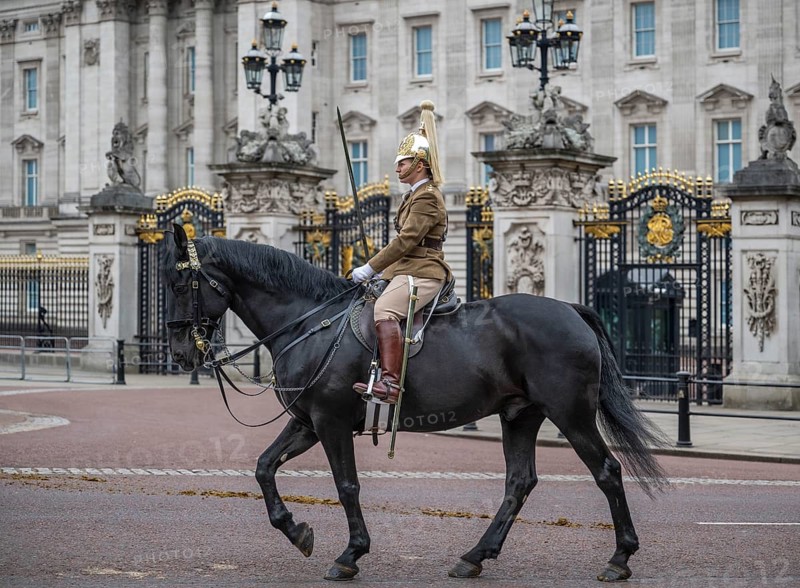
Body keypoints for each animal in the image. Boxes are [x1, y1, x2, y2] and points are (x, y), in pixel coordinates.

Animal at [162, 224, 669, 582]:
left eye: (178, 283)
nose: (181, 354)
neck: (310, 323)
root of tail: (568, 307)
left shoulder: (329, 421)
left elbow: (346, 485)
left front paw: (350, 554)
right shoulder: (307, 422)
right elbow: (264, 467)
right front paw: (297, 531)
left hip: (571, 414)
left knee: (606, 471)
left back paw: (619, 558)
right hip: (520, 416)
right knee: (519, 482)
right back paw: (474, 557)